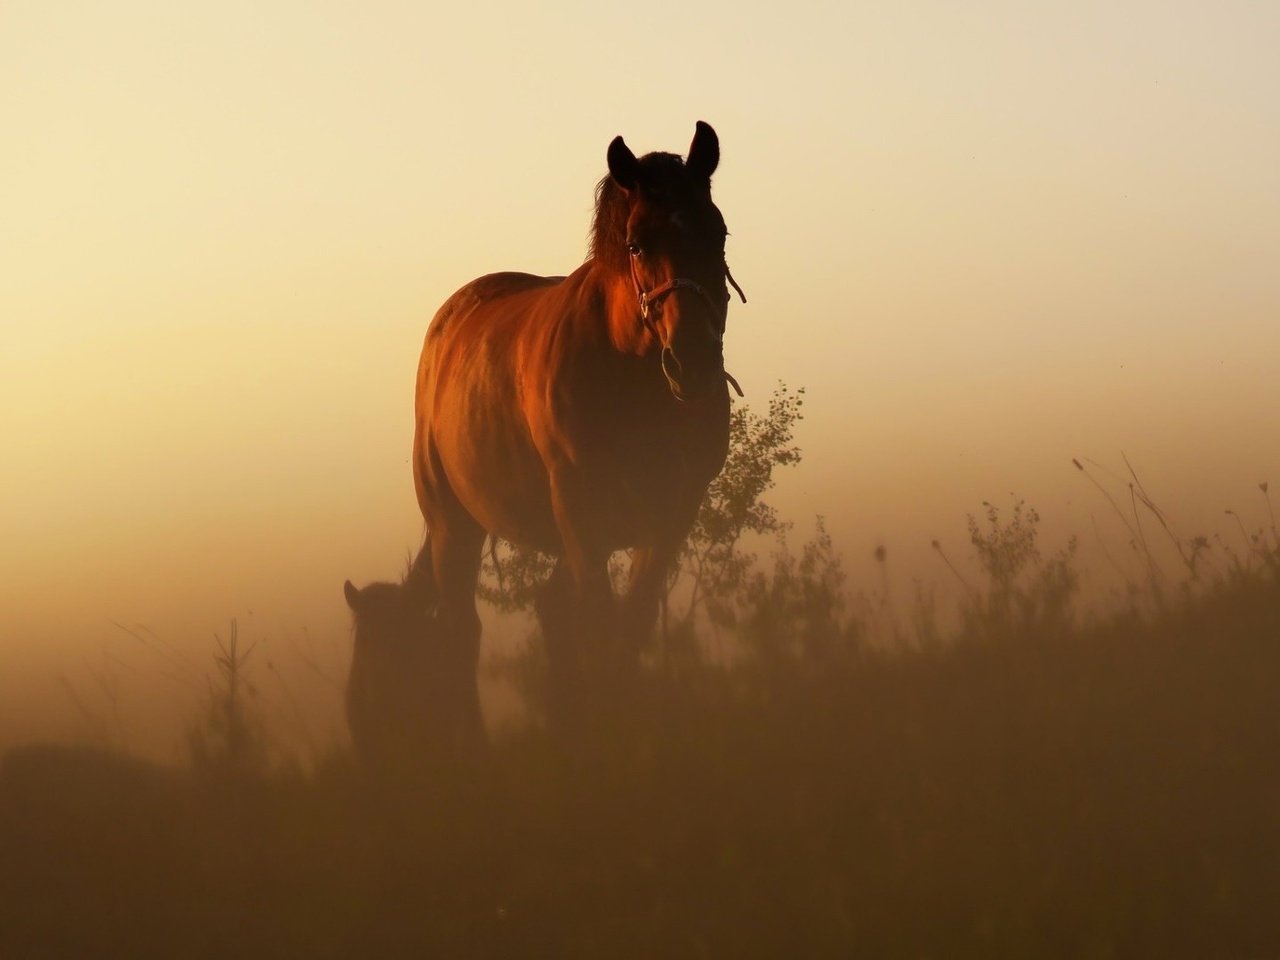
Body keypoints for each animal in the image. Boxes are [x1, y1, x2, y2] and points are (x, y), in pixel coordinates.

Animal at [414, 124, 747, 701]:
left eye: (719, 234)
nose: (694, 364)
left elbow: (628, 627)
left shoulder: (671, 513)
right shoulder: (579, 505)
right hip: (451, 526)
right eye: (636, 243)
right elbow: (601, 623)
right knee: (462, 630)